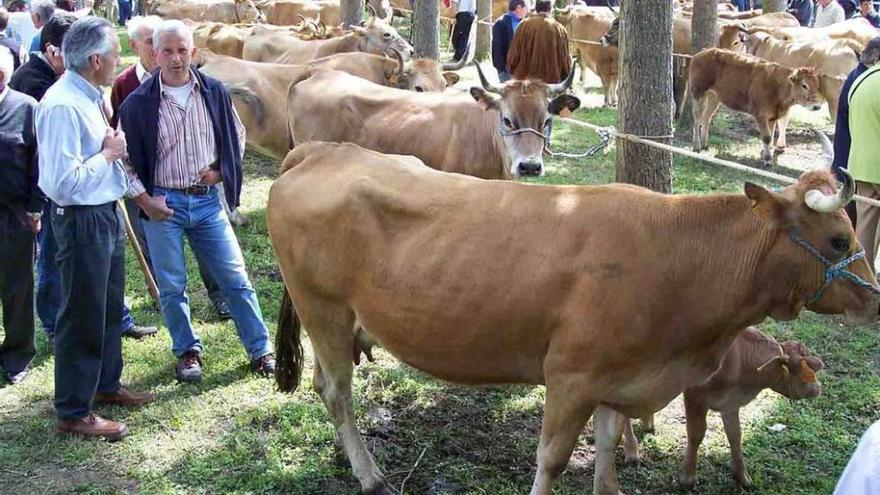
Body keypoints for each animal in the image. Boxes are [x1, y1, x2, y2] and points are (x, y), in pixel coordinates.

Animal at [620, 328, 824, 490]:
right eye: (803, 369)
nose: (817, 388)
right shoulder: (696, 396)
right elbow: (697, 434)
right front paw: (688, 478)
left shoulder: (730, 404)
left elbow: (735, 436)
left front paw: (742, 477)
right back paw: (632, 451)